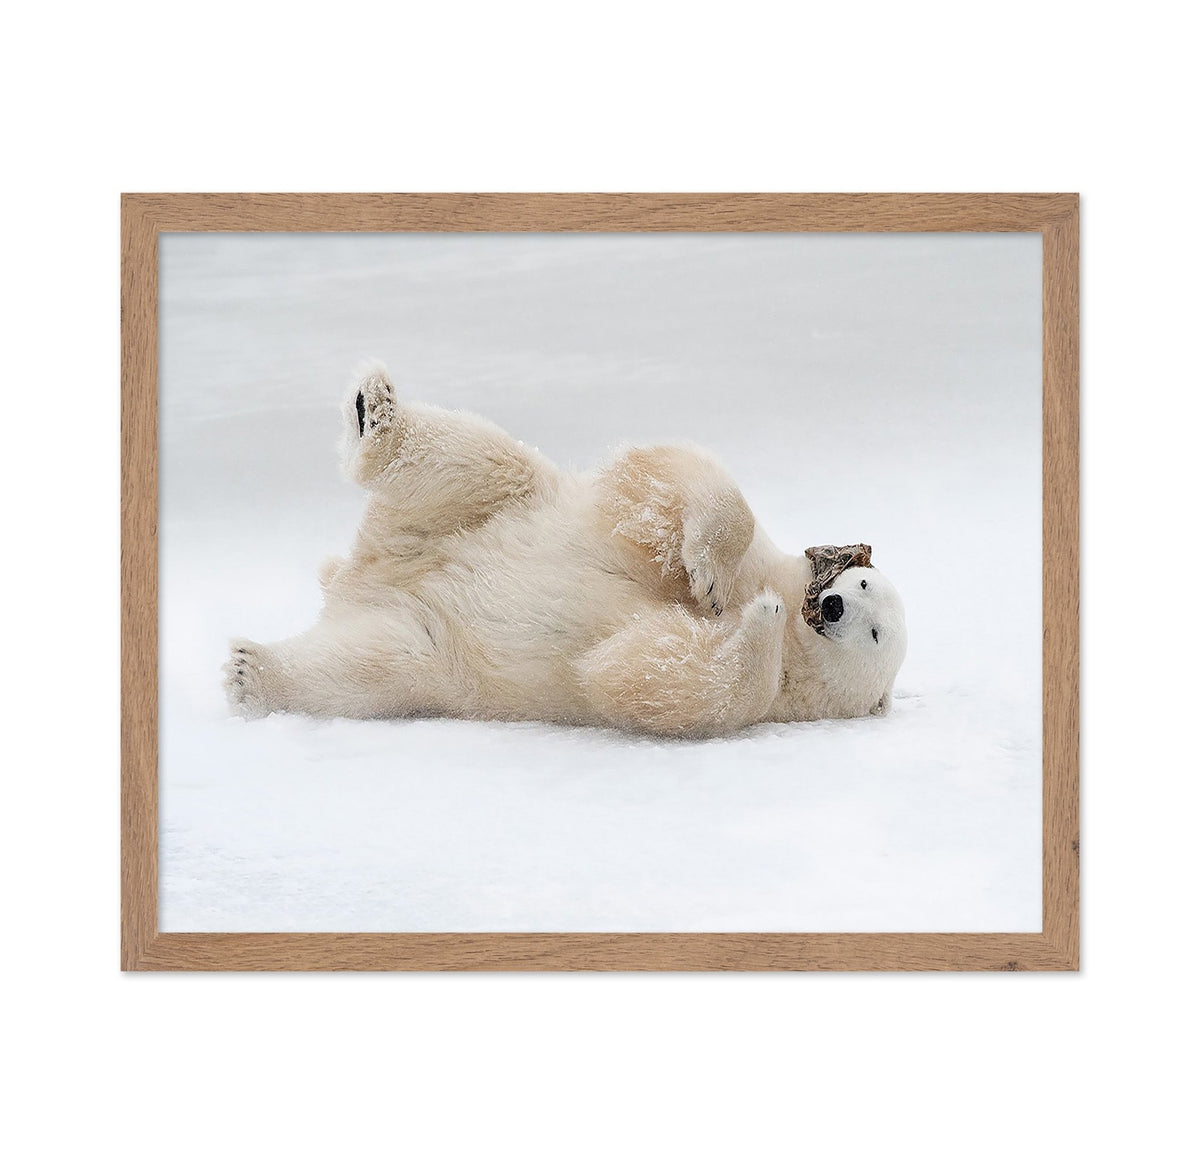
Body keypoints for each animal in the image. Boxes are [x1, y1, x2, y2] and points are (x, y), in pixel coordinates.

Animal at [223, 364, 907, 737]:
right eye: (863, 585)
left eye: (876, 634)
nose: (834, 608)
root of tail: (364, 575)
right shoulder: (756, 551)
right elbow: (678, 484)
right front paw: (710, 580)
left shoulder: (773, 704)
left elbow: (667, 680)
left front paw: (755, 618)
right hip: (489, 507)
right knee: (473, 455)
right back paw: (375, 409)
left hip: (433, 649)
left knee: (365, 667)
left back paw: (253, 672)